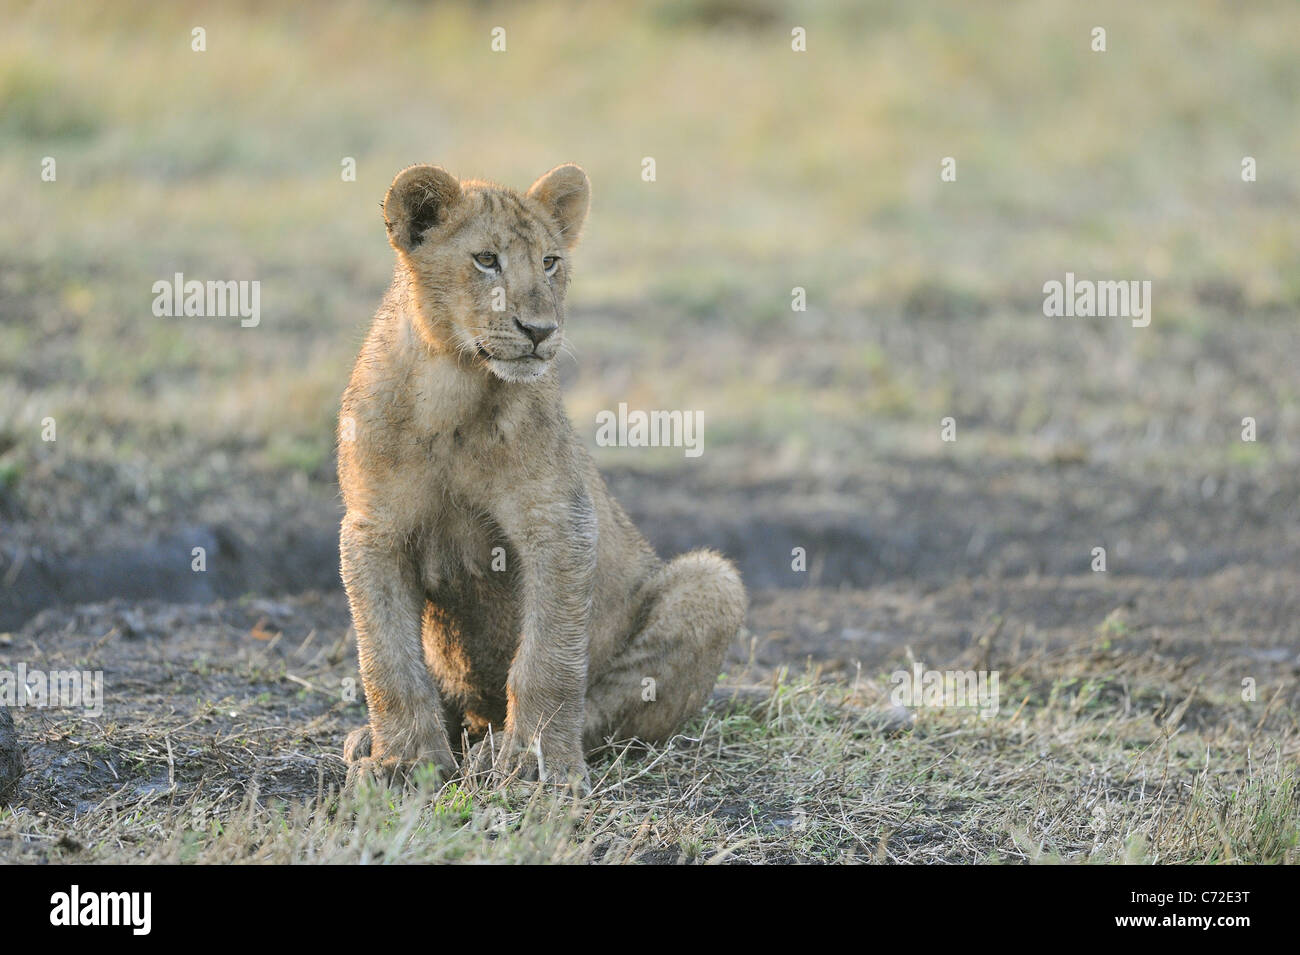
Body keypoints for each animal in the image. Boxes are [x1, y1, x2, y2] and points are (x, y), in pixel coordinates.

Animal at [337, 162, 746, 790]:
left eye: (551, 261)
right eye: (486, 259)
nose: (539, 330)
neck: (453, 386)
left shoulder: (559, 522)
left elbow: (548, 660)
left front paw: (537, 764)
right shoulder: (372, 530)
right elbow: (388, 661)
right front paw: (403, 763)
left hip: (712, 583)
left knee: (604, 709)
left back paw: (496, 748)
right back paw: (377, 738)